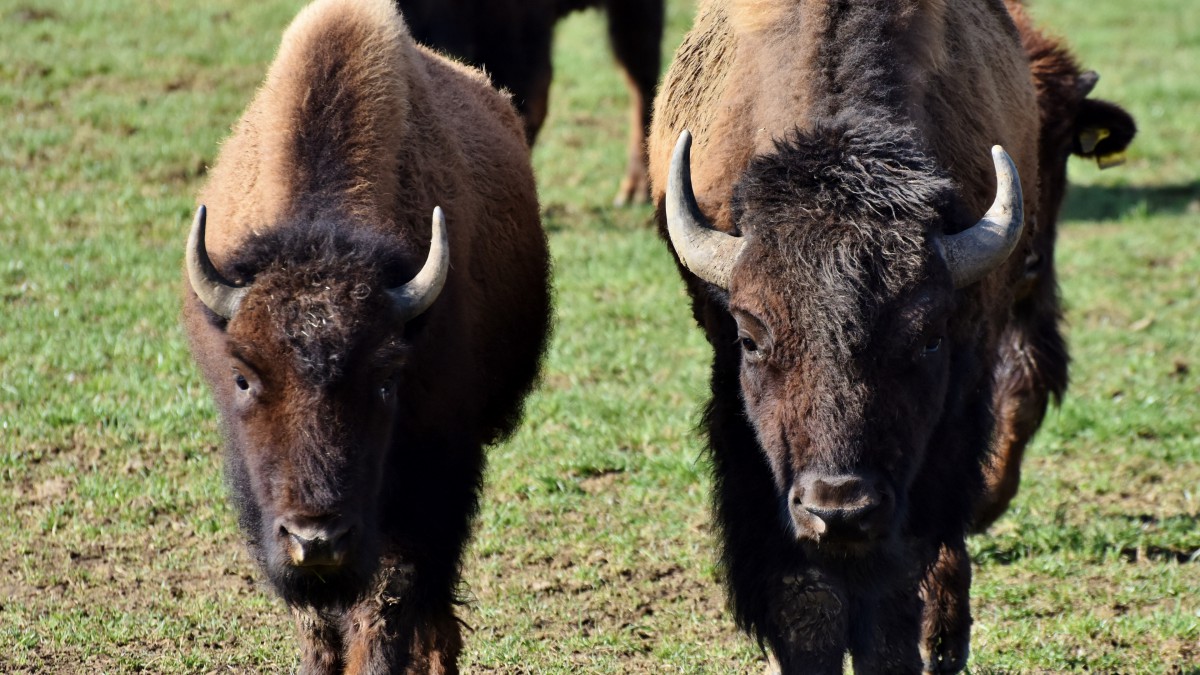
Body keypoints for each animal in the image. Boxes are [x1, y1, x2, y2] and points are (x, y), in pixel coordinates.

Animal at [180, 0, 549, 667]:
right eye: (242, 378)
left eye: (385, 381)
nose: (316, 540)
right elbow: (316, 617)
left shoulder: (433, 465)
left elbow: (388, 599)